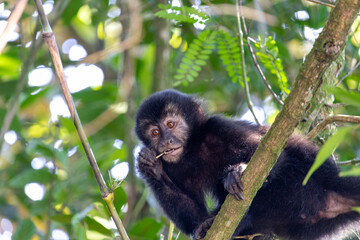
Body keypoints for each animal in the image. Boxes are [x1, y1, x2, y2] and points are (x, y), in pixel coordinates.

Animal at [134, 89, 360, 239]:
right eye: (155, 132)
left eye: (171, 124)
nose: (166, 141)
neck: (193, 149)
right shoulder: (173, 166)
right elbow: (193, 216)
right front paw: (149, 166)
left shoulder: (219, 127)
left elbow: (274, 155)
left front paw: (238, 170)